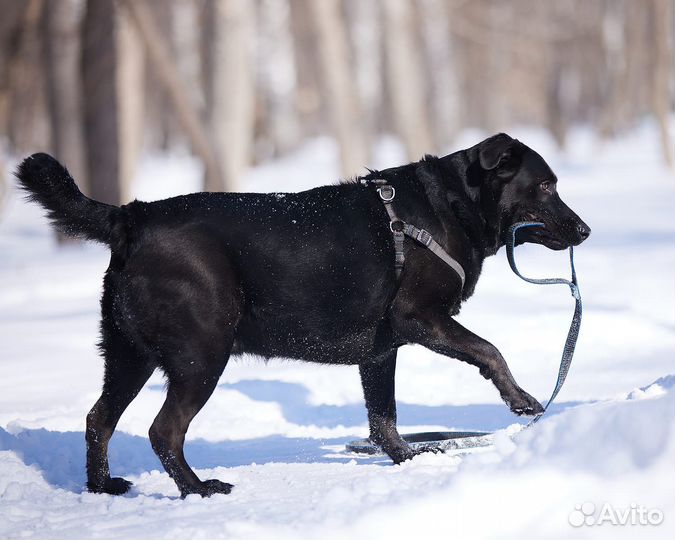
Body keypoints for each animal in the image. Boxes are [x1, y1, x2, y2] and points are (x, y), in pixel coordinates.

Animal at [13, 135, 588, 498]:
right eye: (545, 186)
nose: (583, 230)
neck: (447, 207)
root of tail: (132, 217)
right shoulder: (420, 318)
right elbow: (490, 350)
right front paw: (523, 401)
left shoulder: (380, 353)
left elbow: (383, 419)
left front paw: (410, 459)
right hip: (201, 356)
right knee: (163, 431)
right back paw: (198, 489)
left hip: (128, 354)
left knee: (98, 420)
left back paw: (102, 488)